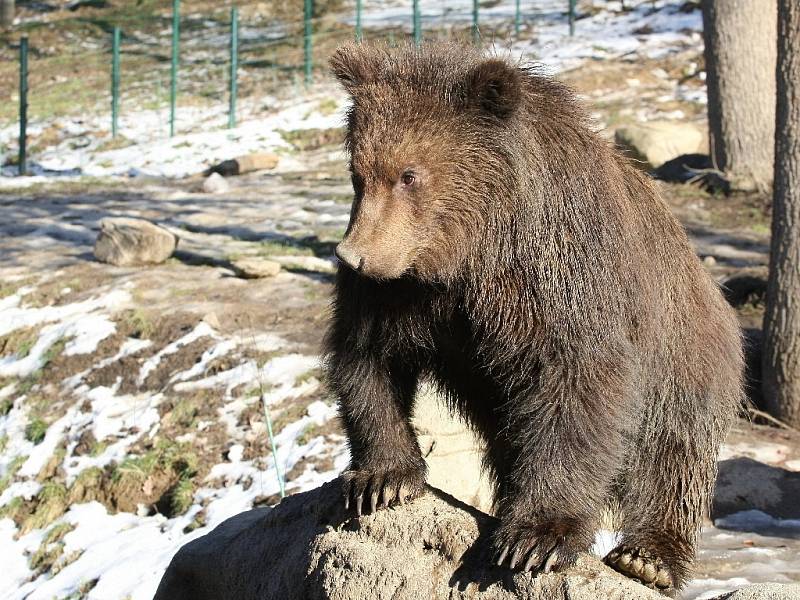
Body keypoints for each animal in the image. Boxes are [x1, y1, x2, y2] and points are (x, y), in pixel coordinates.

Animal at [322, 42, 748, 596]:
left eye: (409, 174)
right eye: (358, 173)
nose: (354, 256)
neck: (470, 253)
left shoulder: (559, 275)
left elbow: (578, 382)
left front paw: (535, 538)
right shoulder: (404, 293)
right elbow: (369, 358)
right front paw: (381, 481)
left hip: (686, 358)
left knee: (673, 456)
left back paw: (647, 557)